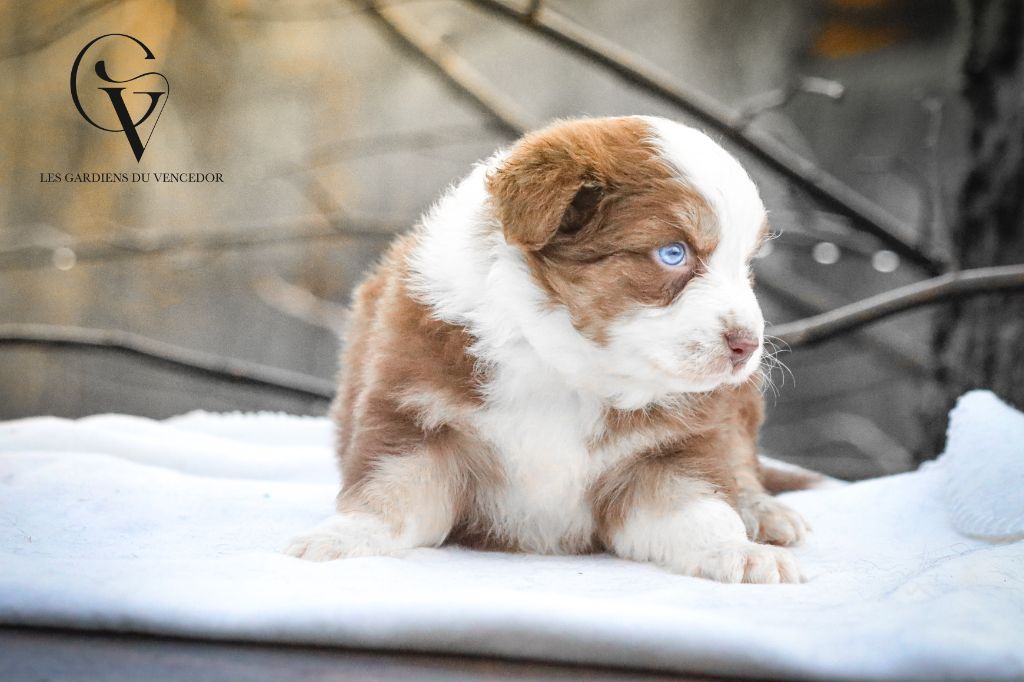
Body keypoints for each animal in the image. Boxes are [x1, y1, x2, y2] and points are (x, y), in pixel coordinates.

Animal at [288, 114, 815, 581]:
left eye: (746, 265)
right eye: (673, 253)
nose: (748, 345)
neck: (565, 364)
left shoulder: (668, 453)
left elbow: (702, 508)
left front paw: (739, 552)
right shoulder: (418, 419)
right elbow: (389, 490)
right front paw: (339, 538)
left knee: (743, 463)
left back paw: (764, 514)